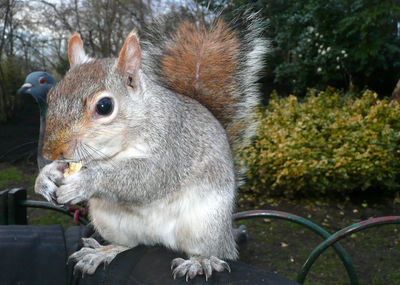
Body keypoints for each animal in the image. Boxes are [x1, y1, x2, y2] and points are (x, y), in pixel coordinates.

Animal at [33, 9, 266, 280]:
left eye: (104, 106)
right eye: (51, 95)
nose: (51, 152)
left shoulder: (174, 145)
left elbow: (150, 177)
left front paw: (87, 181)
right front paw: (46, 177)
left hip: (205, 224)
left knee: (207, 249)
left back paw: (200, 261)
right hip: (110, 222)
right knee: (128, 244)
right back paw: (102, 252)